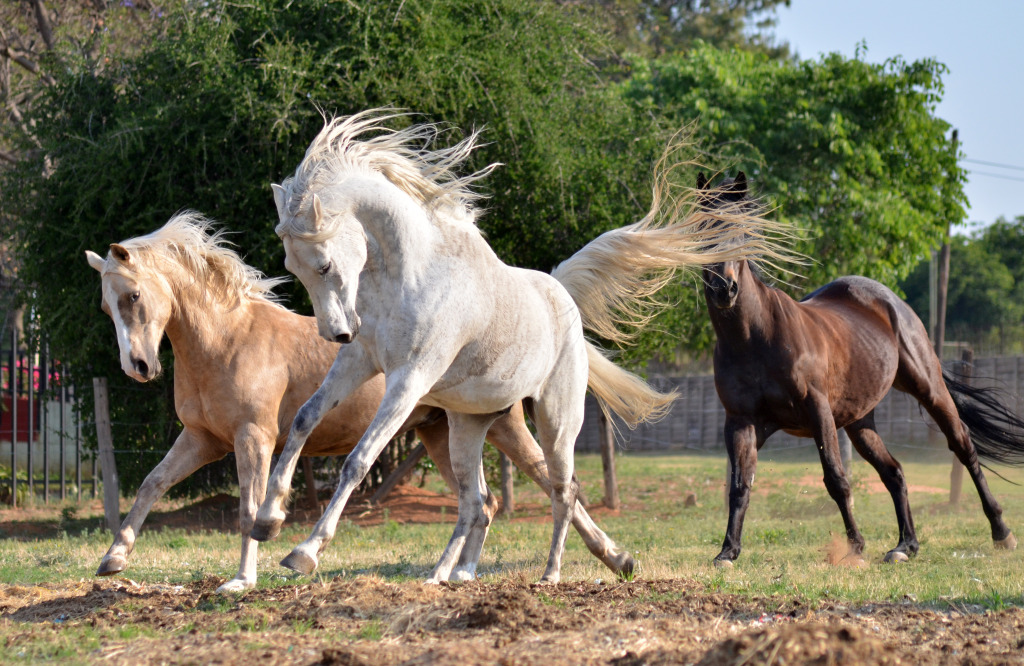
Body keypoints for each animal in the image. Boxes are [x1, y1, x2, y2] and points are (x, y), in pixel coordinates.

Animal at [83, 213, 634, 590]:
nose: (139, 367)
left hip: (508, 428)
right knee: (483, 501)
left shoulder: (252, 439)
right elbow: (152, 484)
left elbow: (246, 508)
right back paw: (462, 573)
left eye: (133, 296)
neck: (227, 341)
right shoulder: (202, 440)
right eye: (105, 305)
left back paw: (604, 560)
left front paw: (243, 577)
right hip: (442, 433)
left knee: (556, 485)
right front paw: (113, 559)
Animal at [251, 110, 778, 581]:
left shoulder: (410, 378)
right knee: (481, 501)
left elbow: (359, 459)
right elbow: (303, 420)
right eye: (294, 267)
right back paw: (466, 572)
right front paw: (267, 520)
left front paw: (304, 551)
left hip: (555, 419)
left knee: (560, 488)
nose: (336, 332)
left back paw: (557, 571)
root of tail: (561, 293)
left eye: (323, 264)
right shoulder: (359, 361)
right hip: (472, 425)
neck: (411, 272)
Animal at [700, 171, 1024, 565]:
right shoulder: (741, 422)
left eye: (741, 230)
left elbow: (836, 478)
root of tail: (891, 301)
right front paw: (727, 551)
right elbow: (740, 485)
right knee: (894, 472)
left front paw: (854, 546)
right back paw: (905, 546)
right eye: (701, 227)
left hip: (929, 391)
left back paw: (1002, 533)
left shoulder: (817, 410)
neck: (753, 338)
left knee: (964, 448)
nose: (724, 288)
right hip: (859, 422)